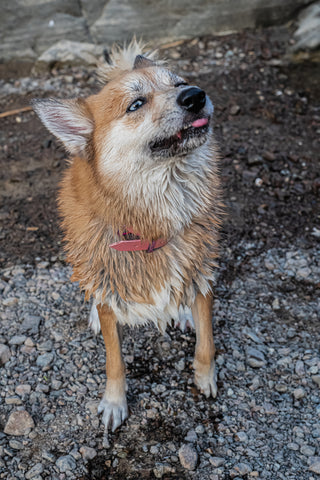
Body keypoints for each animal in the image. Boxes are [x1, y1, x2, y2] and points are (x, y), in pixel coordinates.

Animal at [31, 40, 222, 432]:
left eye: (179, 82)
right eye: (136, 104)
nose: (195, 95)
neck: (153, 224)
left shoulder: (203, 273)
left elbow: (206, 342)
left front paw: (205, 377)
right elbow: (114, 359)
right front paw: (114, 402)